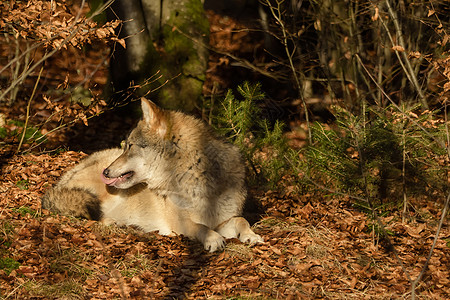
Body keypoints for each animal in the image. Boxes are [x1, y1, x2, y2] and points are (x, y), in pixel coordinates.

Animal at [43, 98, 264, 251]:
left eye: (130, 146)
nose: (105, 172)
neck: (195, 177)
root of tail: (62, 180)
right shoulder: (180, 223)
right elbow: (200, 227)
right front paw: (214, 239)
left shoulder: (223, 220)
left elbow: (241, 220)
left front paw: (251, 236)